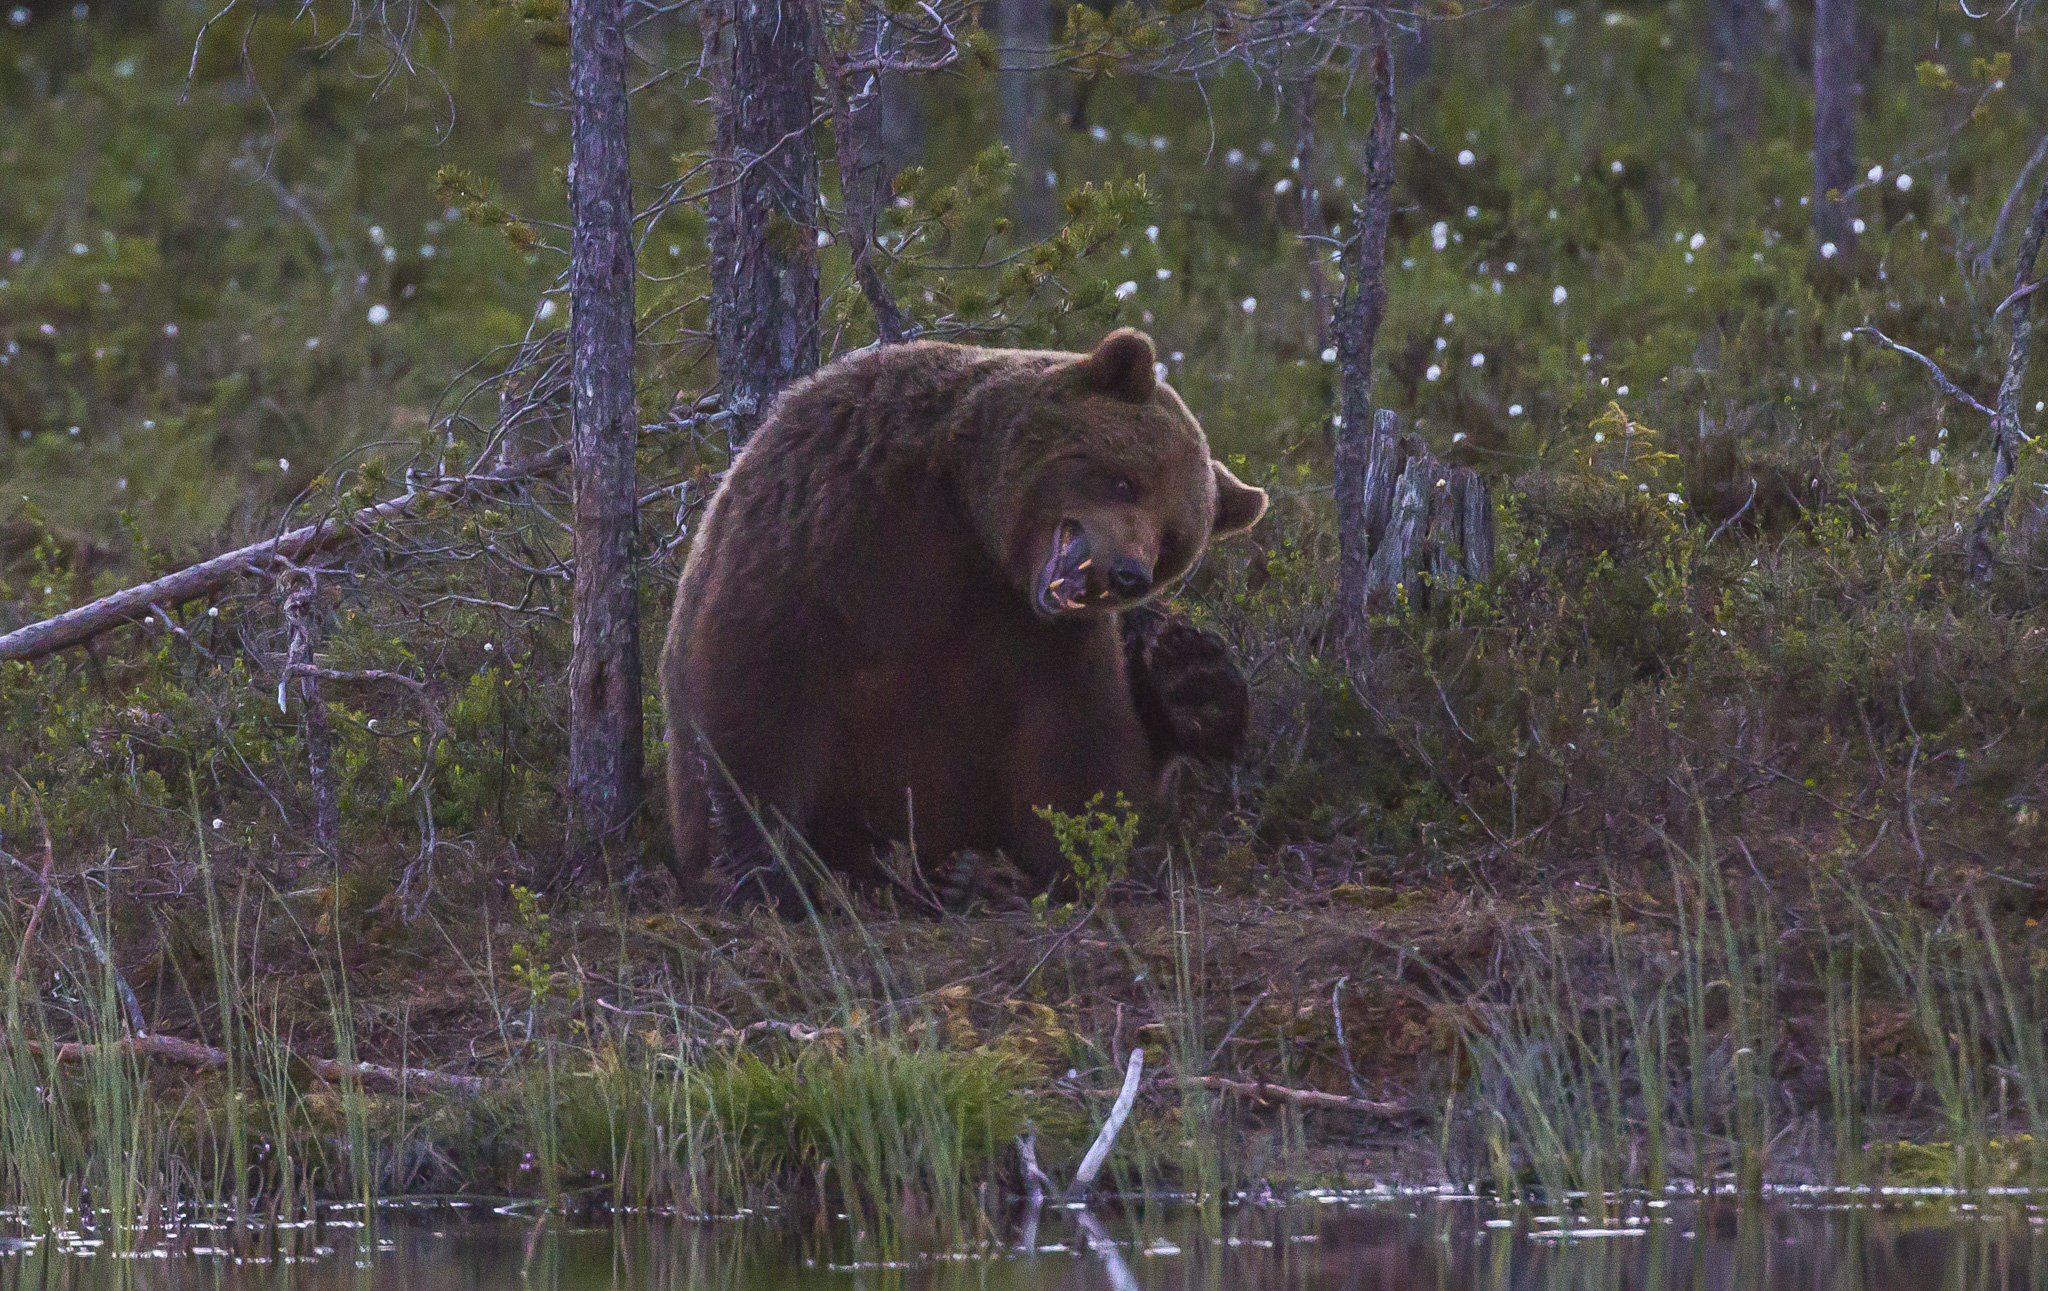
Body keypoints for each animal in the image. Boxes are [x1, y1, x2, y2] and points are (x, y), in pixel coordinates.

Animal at [660, 328, 1267, 904]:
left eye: (1172, 539)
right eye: (1124, 481)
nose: (1128, 575)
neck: (972, 528)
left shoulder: (1038, 636)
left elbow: (1077, 752)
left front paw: (1066, 865)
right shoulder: (837, 524)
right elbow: (761, 685)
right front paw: (763, 871)